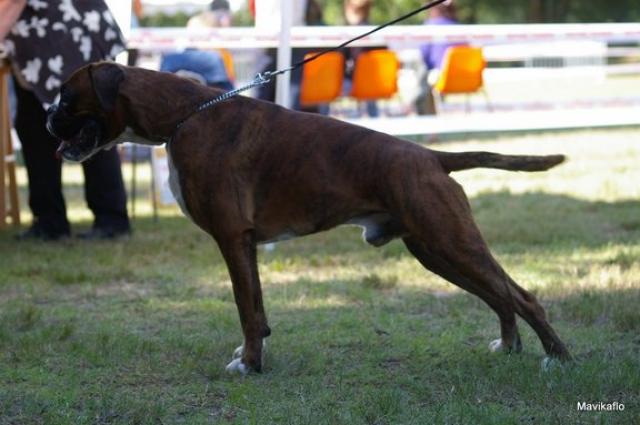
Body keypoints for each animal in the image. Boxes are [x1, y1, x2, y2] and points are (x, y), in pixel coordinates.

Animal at [48, 61, 568, 372]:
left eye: (65, 98)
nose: (47, 118)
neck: (183, 114)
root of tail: (430, 157)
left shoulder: (232, 238)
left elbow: (245, 307)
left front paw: (249, 364)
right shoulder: (246, 244)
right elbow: (257, 307)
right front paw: (254, 354)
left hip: (450, 241)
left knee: (522, 296)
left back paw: (557, 358)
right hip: (434, 250)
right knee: (499, 297)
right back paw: (509, 347)